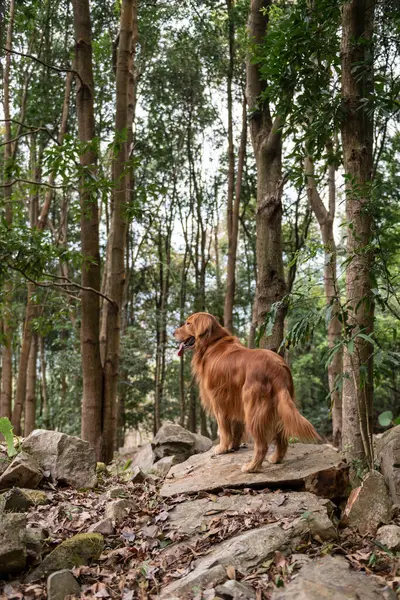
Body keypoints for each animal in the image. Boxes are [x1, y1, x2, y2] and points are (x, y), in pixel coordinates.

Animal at [173, 312, 320, 472]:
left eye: (188, 323)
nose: (173, 333)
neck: (212, 343)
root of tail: (277, 368)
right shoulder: (234, 400)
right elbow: (236, 427)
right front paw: (233, 446)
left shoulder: (219, 400)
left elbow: (223, 428)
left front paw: (222, 448)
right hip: (280, 406)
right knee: (282, 438)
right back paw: (276, 459)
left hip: (253, 408)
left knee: (262, 445)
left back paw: (251, 467)